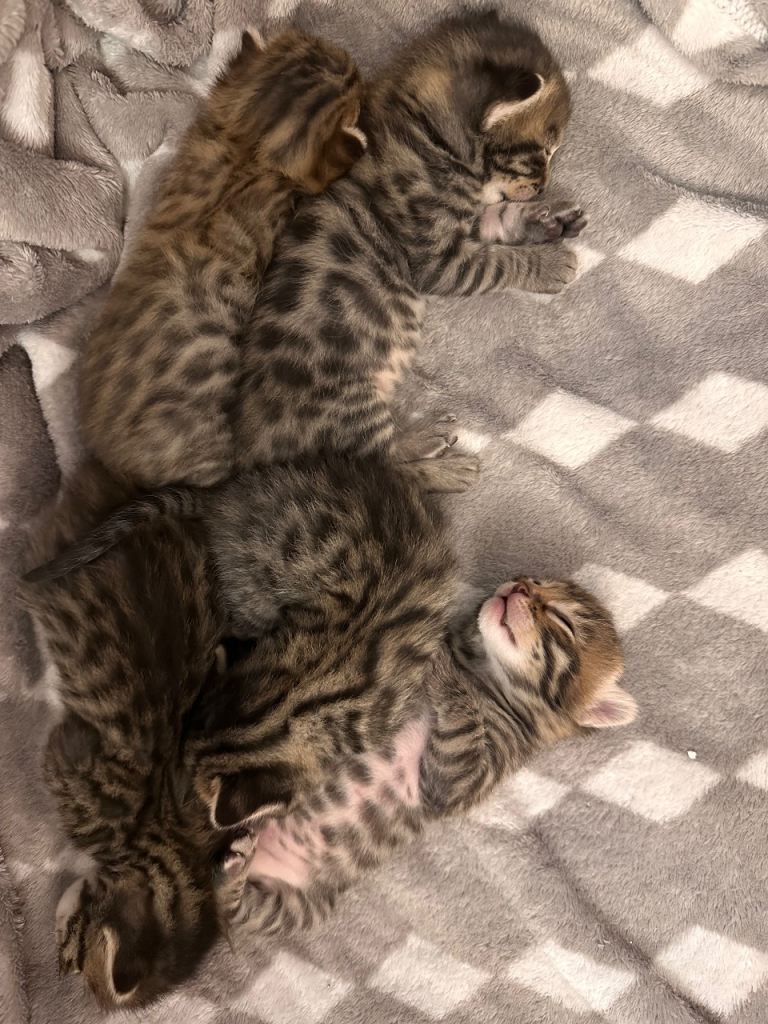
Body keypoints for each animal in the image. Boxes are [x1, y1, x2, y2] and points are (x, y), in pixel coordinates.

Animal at [217, 576, 637, 939]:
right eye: (532, 580)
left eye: (562, 619)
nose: (516, 585)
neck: (483, 672)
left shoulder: (460, 779)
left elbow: (462, 717)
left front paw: (445, 668)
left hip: (304, 906)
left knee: (243, 914)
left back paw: (232, 876)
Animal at [230, 10, 586, 468]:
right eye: (543, 150)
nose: (544, 187)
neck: (425, 133)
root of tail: (249, 447)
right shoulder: (436, 259)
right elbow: (497, 262)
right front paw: (548, 263)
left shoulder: (465, 223)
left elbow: (499, 220)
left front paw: (548, 218)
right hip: (342, 399)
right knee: (376, 452)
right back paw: (432, 441)